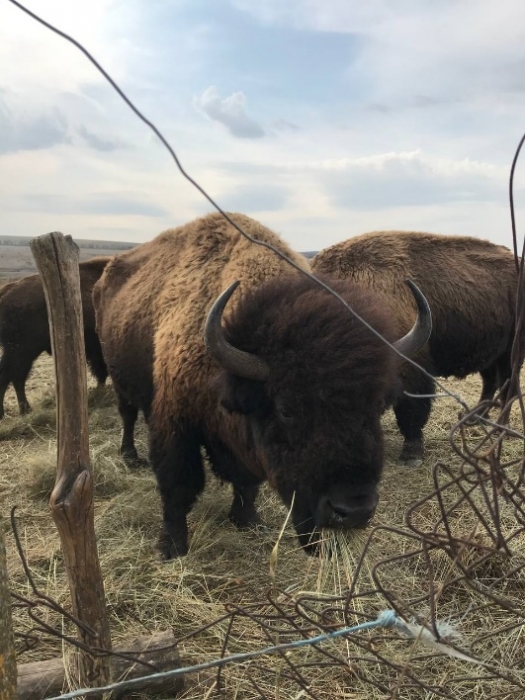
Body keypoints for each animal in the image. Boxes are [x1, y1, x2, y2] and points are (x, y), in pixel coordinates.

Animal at [0, 258, 109, 418]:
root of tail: (7, 290)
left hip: (24, 353)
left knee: (17, 377)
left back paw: (25, 410)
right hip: (21, 351)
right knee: (10, 376)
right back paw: (9, 412)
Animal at [94, 212, 430, 556]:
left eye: (378, 406)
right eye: (286, 410)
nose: (353, 510)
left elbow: (246, 481)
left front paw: (247, 520)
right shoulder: (176, 423)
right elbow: (177, 486)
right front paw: (172, 546)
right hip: (120, 380)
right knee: (127, 414)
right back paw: (130, 456)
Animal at [312, 232, 520, 468]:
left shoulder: (411, 369)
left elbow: (411, 411)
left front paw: (411, 455)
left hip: (511, 351)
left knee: (508, 385)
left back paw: (501, 428)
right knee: (490, 381)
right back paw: (474, 419)